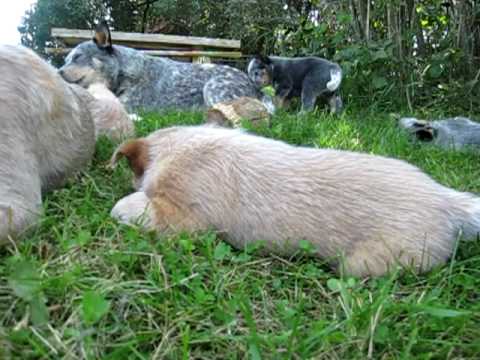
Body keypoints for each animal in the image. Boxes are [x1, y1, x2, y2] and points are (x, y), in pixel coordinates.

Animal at [59, 21, 266, 112]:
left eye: (77, 56)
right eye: (65, 60)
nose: (58, 72)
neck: (123, 71)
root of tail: (254, 85)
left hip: (213, 88)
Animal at [109, 125, 480, 278]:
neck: (180, 146)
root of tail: (447, 199)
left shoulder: (185, 219)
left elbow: (137, 207)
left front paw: (124, 204)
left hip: (368, 262)